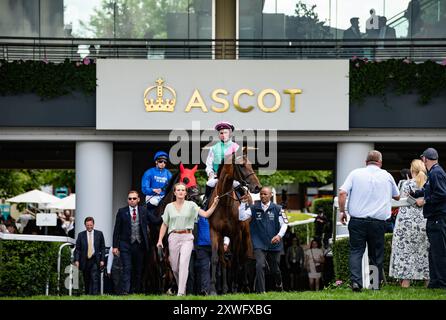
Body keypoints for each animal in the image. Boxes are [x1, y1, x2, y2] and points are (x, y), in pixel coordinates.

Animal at [208, 149, 262, 294]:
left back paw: (244, 285)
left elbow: (236, 260)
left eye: (251, 165)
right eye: (242, 165)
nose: (258, 187)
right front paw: (214, 289)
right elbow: (216, 259)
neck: (224, 203)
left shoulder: (237, 233)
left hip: (245, 235)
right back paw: (225, 287)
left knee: (243, 258)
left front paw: (235, 287)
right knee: (224, 259)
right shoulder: (215, 232)